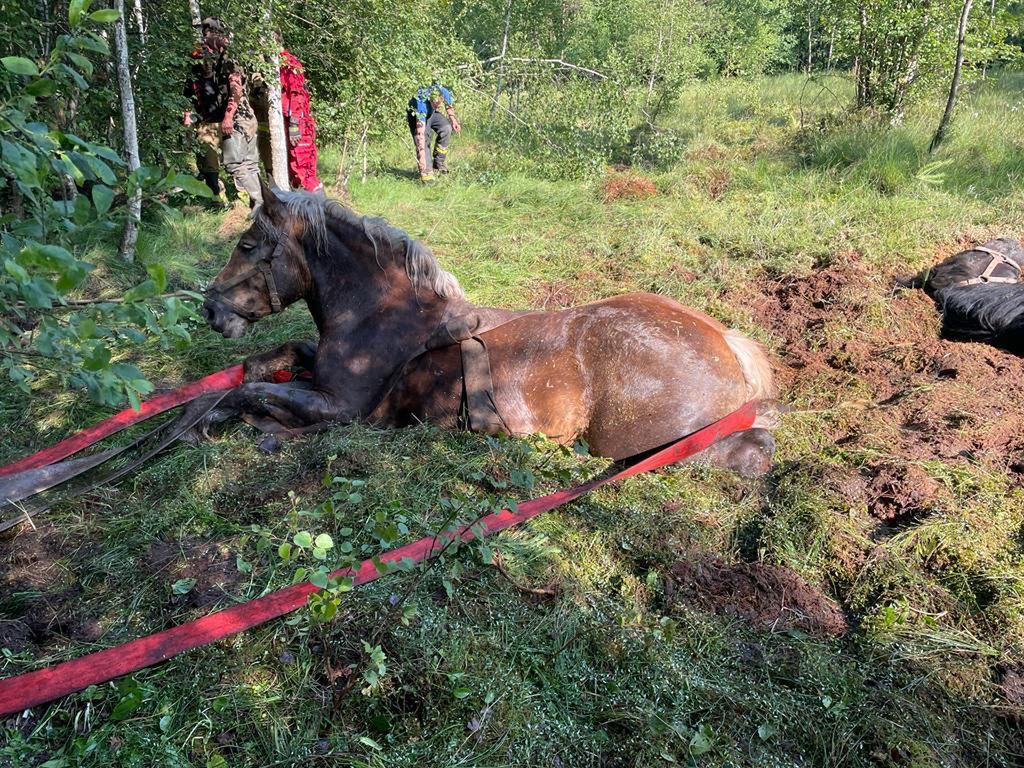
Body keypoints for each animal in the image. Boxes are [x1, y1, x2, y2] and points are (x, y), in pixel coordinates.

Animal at [197, 184, 774, 479]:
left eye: (247, 245)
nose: (210, 310)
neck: (379, 314)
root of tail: (724, 343)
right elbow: (275, 360)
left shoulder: (344, 410)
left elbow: (251, 392)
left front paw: (217, 418)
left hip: (636, 439)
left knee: (744, 451)